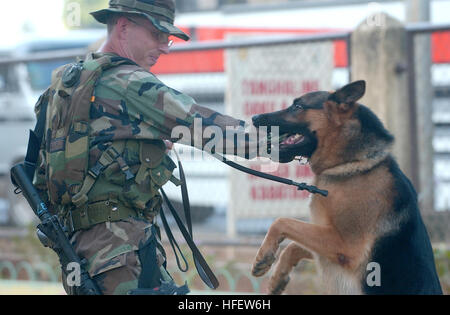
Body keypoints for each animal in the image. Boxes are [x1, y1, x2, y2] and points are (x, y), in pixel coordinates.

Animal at [251, 80, 442, 296]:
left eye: (297, 107)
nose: (254, 117)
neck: (352, 165)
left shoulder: (344, 245)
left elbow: (282, 222)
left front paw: (264, 253)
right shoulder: (327, 241)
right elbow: (293, 245)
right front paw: (277, 277)